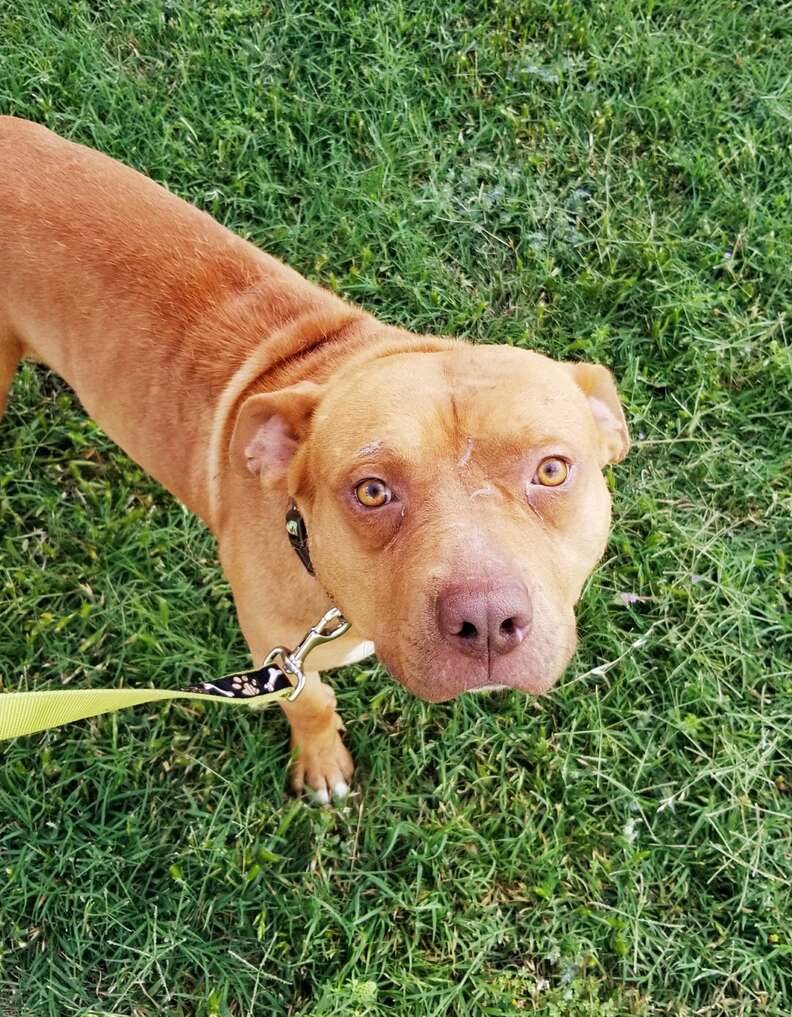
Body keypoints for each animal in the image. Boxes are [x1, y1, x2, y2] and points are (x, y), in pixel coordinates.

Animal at [1, 116, 630, 801]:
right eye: (372, 491)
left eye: (552, 470)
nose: (486, 621)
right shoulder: (275, 654)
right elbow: (311, 702)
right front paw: (323, 761)